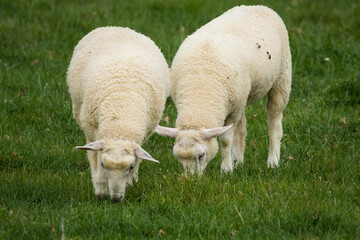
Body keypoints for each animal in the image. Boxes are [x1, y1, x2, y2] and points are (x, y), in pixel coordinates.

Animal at [67, 26, 171, 201]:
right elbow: (95, 157)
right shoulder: (92, 130)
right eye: (104, 165)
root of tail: (117, 28)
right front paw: (100, 190)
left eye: (130, 167)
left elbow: (139, 158)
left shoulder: (144, 134)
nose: (116, 198)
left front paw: (130, 182)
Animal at [156, 5, 292, 174]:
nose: (191, 179)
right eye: (178, 157)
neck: (199, 92)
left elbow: (226, 140)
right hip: (241, 97)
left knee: (274, 123)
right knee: (241, 129)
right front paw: (232, 165)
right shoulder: (234, 104)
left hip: (282, 77)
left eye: (201, 155)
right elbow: (236, 133)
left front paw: (226, 170)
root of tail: (258, 6)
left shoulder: (232, 112)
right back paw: (238, 161)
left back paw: (272, 161)